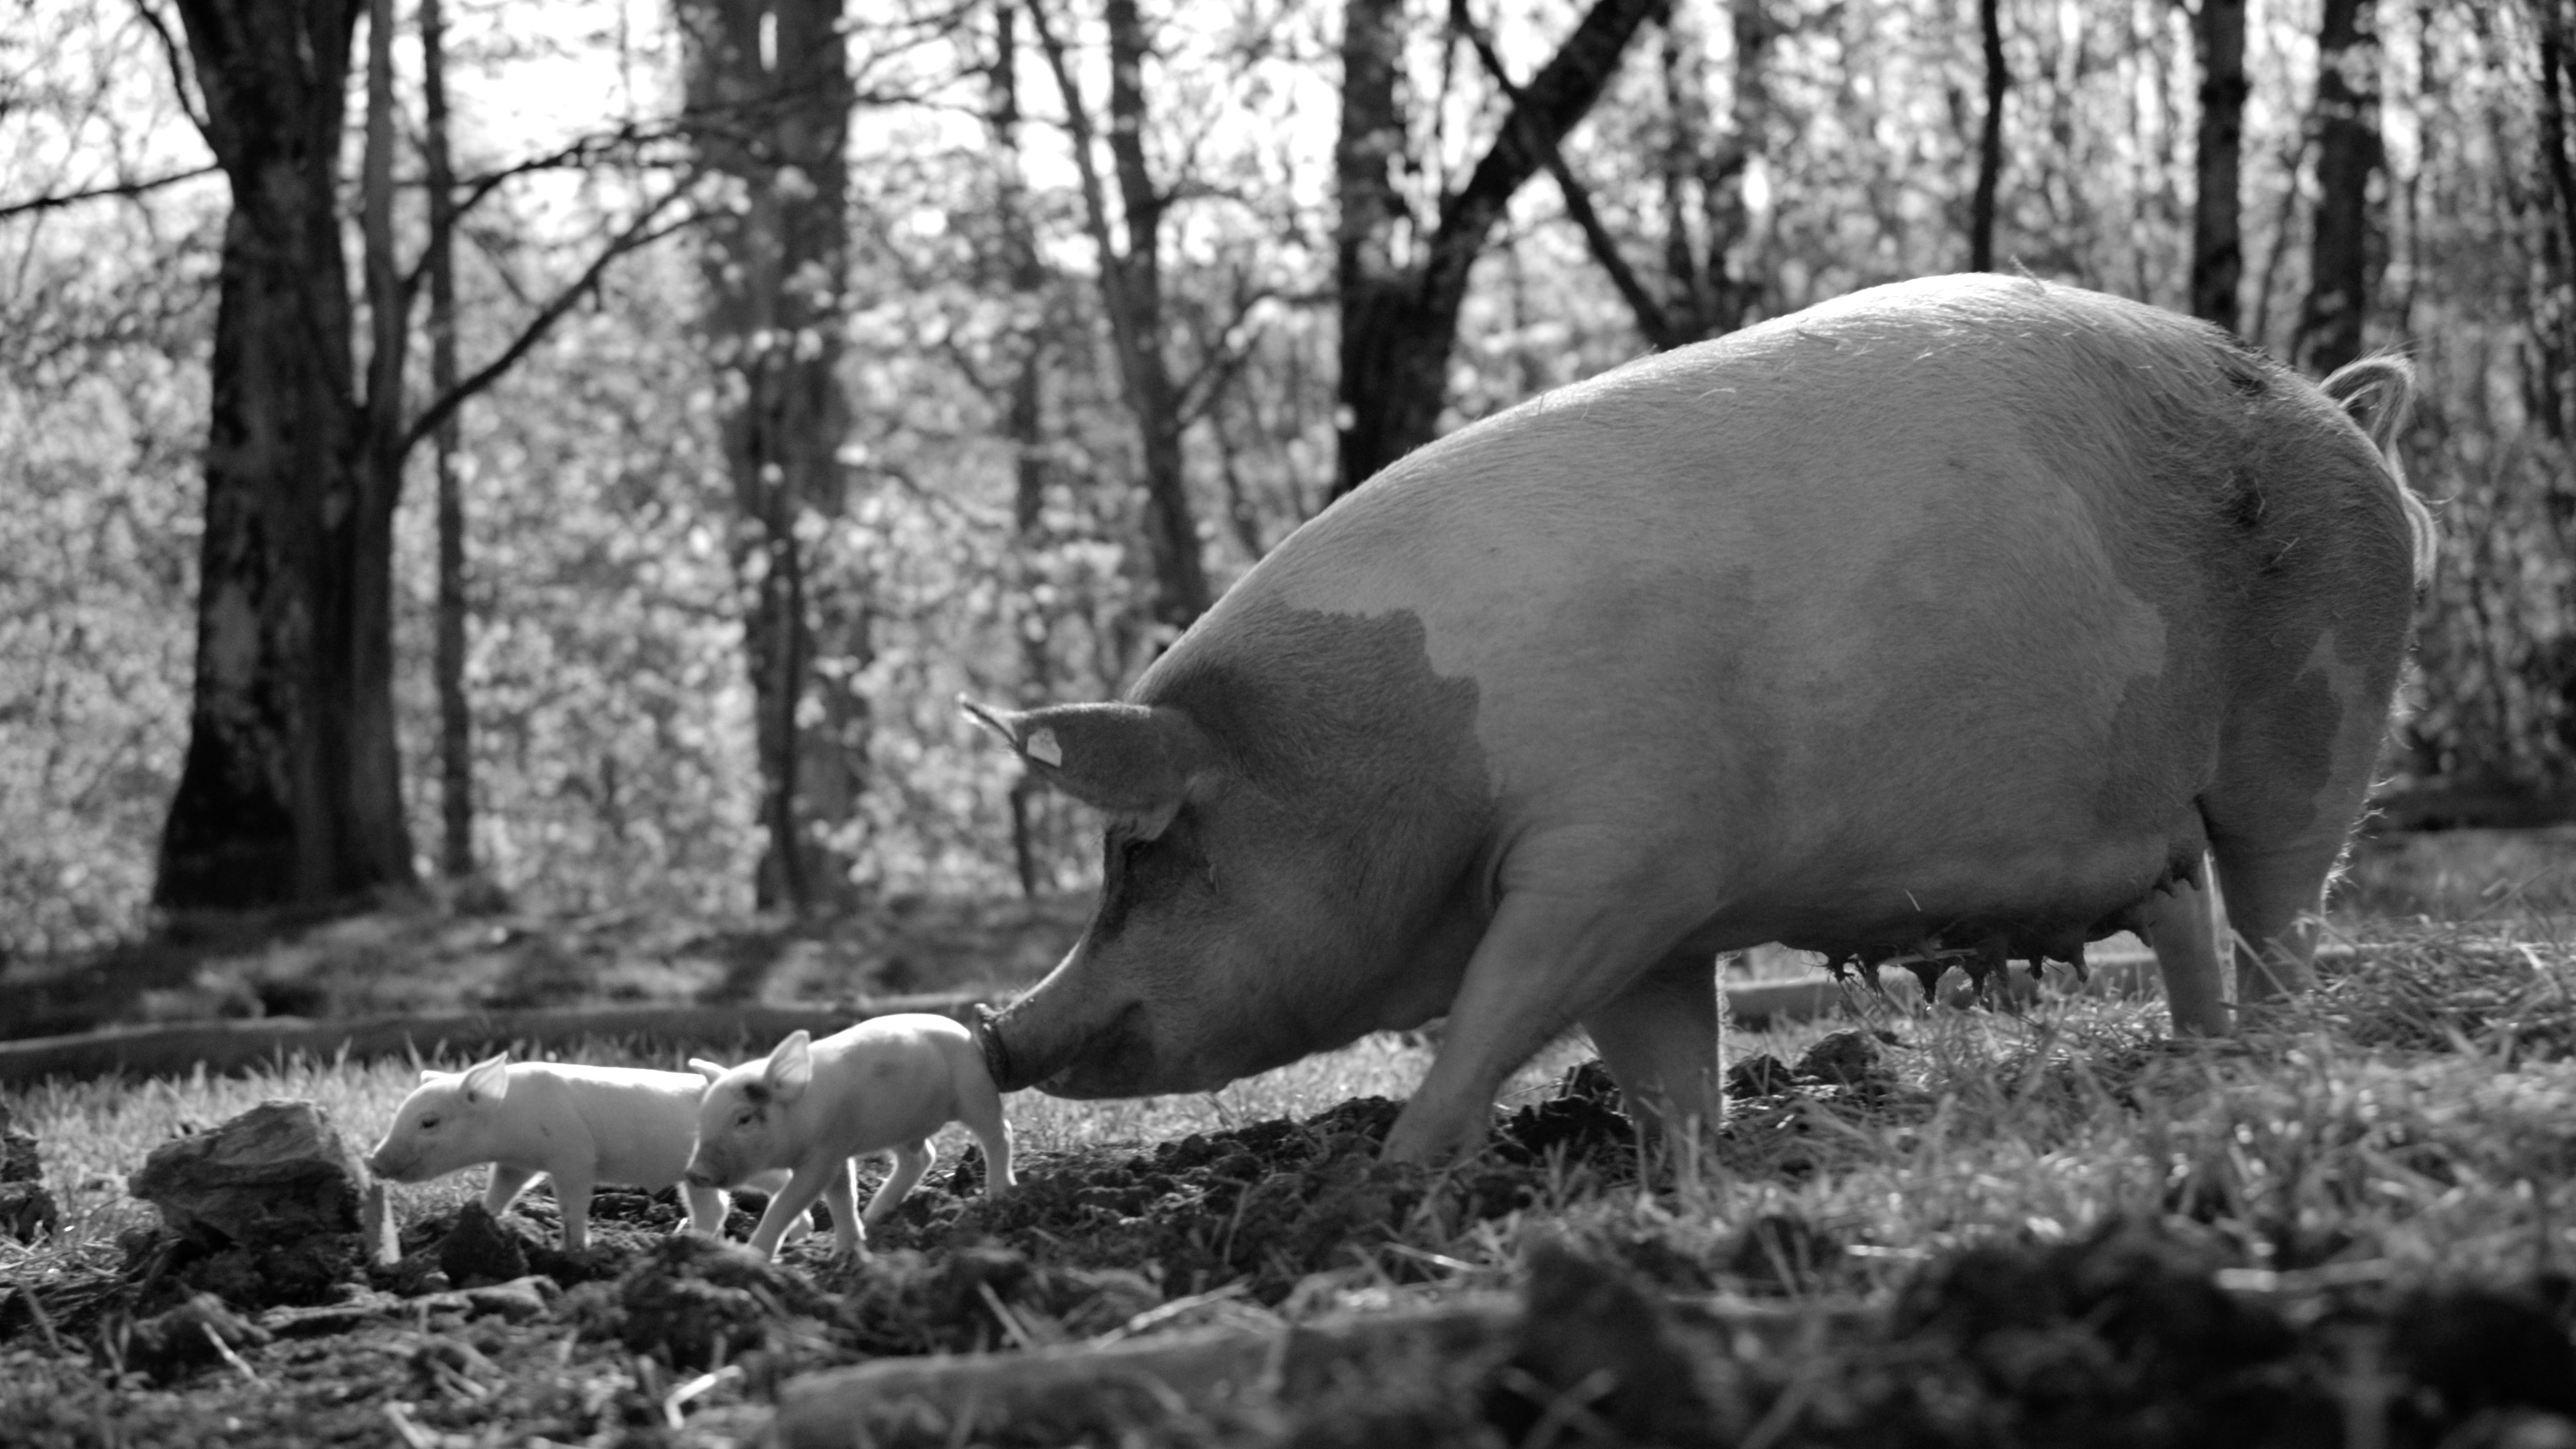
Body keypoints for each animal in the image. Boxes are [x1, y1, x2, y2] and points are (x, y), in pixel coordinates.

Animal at [365, 1057, 803, 1248]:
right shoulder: (515, 1162)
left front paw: (575, 1250)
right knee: (723, 1205)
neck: (509, 1115)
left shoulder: (572, 1153)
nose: (373, 1161)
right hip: (703, 1175)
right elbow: (501, 1191)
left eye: (429, 1122)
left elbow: (572, 1203)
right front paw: (480, 1219)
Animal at [685, 1015, 1014, 1253]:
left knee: (1000, 1134)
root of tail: (966, 1034)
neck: (802, 1115)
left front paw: (753, 1257)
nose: (695, 1172)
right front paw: (846, 1251)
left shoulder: (823, 1155)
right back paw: (874, 1215)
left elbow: (787, 1202)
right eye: (702, 1119)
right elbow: (842, 1198)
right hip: (903, 1128)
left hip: (975, 1092)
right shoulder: (838, 1153)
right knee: (921, 1157)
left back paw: (1000, 1193)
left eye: (743, 1119)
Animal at [968, 275, 2431, 1165]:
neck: (1398, 759)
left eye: (1141, 853)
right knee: (2189, 910)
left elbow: (1495, 1014)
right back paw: (2199, 1063)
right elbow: (1661, 1056)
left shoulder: (1617, 857)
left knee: (2281, 910)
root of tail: (2337, 406)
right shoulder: (1659, 922)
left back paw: (2274, 1062)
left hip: (2318, 715)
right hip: (2157, 809)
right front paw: (1688, 1169)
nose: (997, 1031)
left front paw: (1384, 1180)